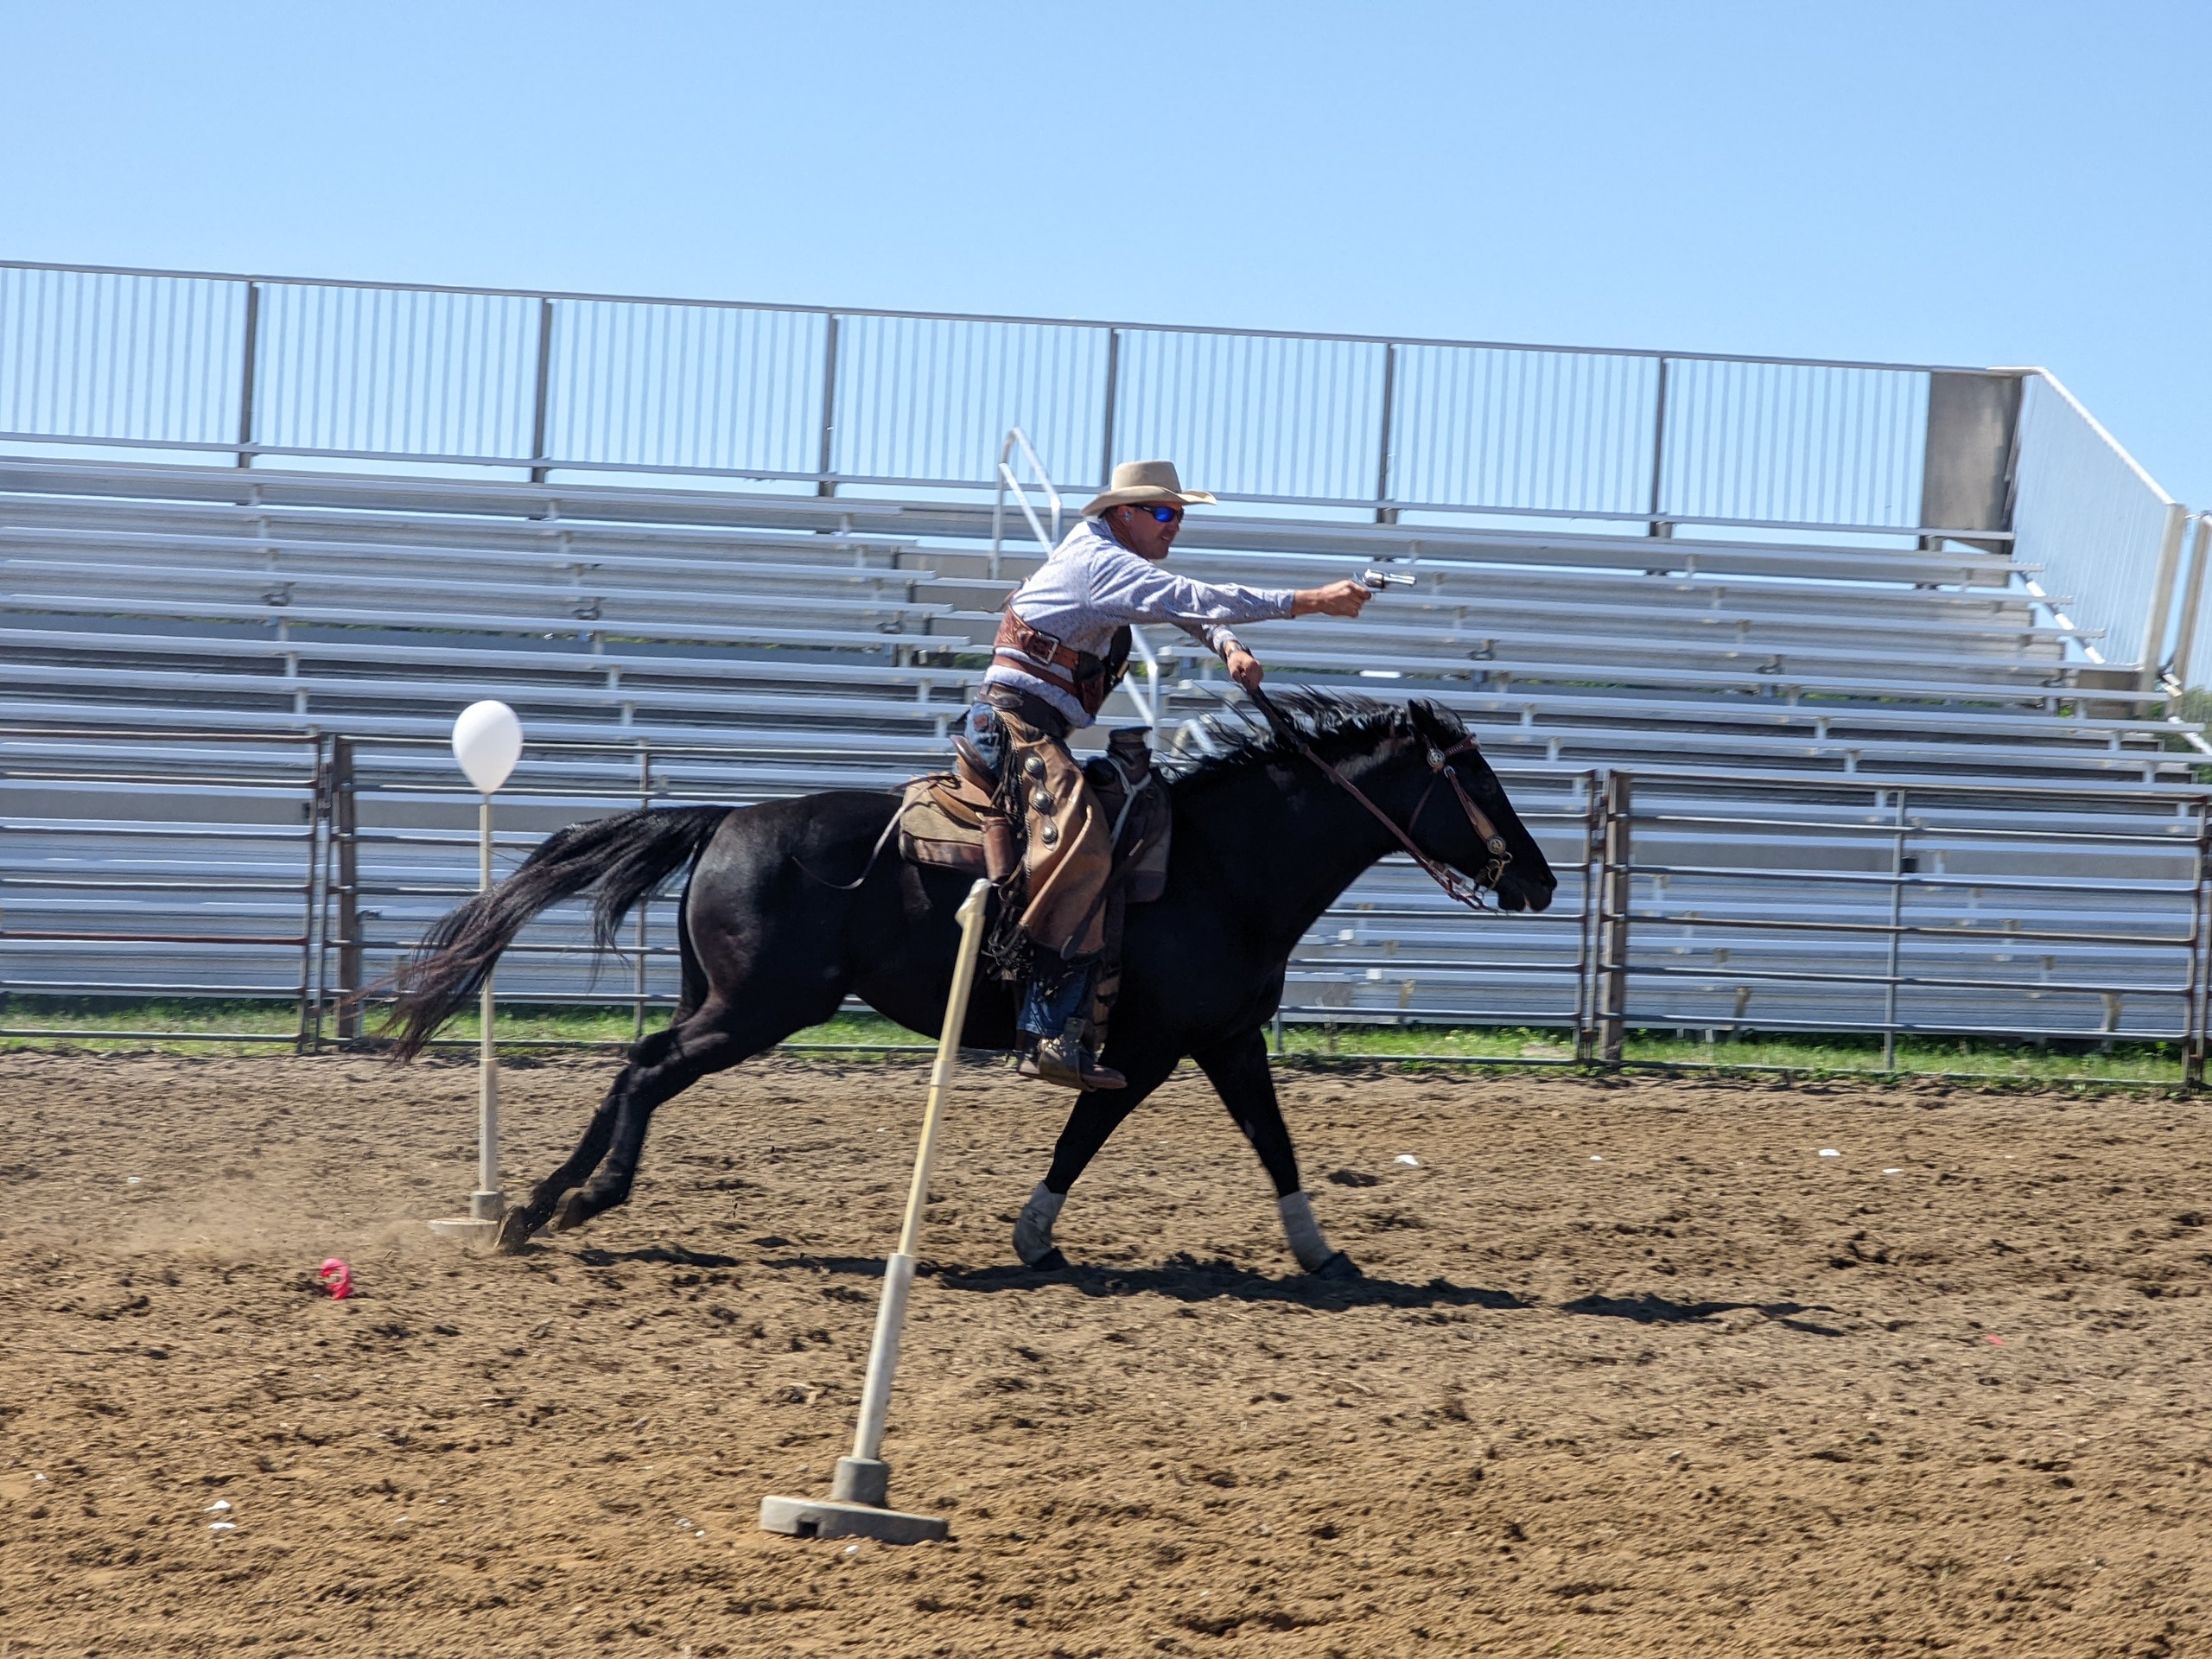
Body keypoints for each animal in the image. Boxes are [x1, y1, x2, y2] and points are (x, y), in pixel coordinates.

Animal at [385, 694, 1557, 1282]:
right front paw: (1033, 1237)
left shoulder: (1223, 1038)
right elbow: (1083, 1136)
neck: (1222, 864)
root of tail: (723, 820)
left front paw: (1320, 1250)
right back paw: (585, 1200)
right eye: (1479, 778)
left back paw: (529, 1210)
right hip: (760, 1009)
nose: (1540, 880)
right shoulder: (1148, 1045)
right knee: (646, 1074)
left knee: (633, 1063)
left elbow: (1273, 1141)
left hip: (718, 999)